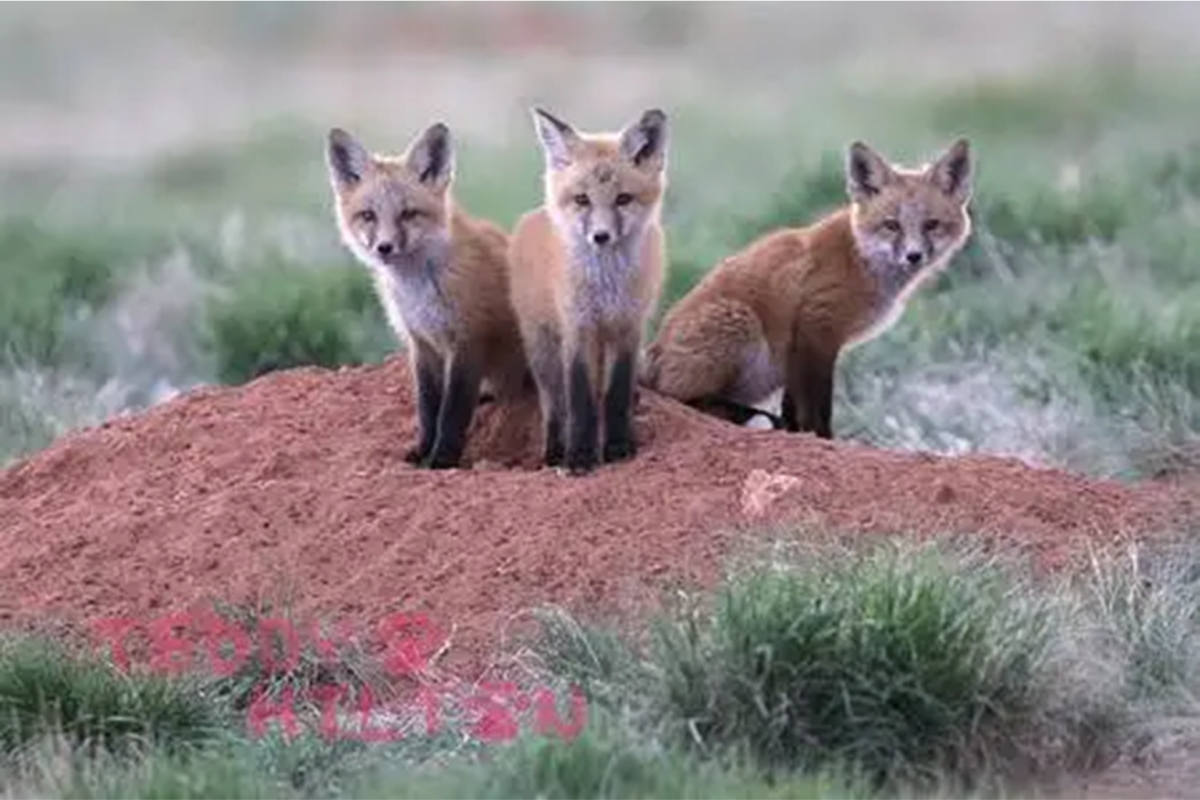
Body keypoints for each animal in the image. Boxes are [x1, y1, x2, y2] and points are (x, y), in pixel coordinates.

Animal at [331, 123, 532, 470]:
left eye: (408, 214)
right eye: (368, 215)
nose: (384, 248)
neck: (420, 290)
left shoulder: (467, 340)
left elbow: (452, 412)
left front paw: (441, 459)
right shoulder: (421, 343)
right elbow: (427, 409)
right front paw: (423, 450)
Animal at [506, 109, 672, 479]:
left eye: (623, 199)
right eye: (582, 200)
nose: (601, 236)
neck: (607, 286)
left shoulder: (628, 328)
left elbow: (616, 393)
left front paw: (618, 448)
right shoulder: (578, 328)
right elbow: (580, 400)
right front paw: (579, 457)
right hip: (543, 349)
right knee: (555, 403)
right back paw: (555, 451)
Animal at [643, 137, 969, 438]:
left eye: (932, 225)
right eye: (892, 225)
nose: (914, 256)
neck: (859, 258)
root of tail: (651, 356)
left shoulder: (798, 349)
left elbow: (793, 408)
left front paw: (794, 432)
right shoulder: (816, 328)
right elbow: (816, 409)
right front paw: (824, 440)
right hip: (740, 322)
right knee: (685, 400)